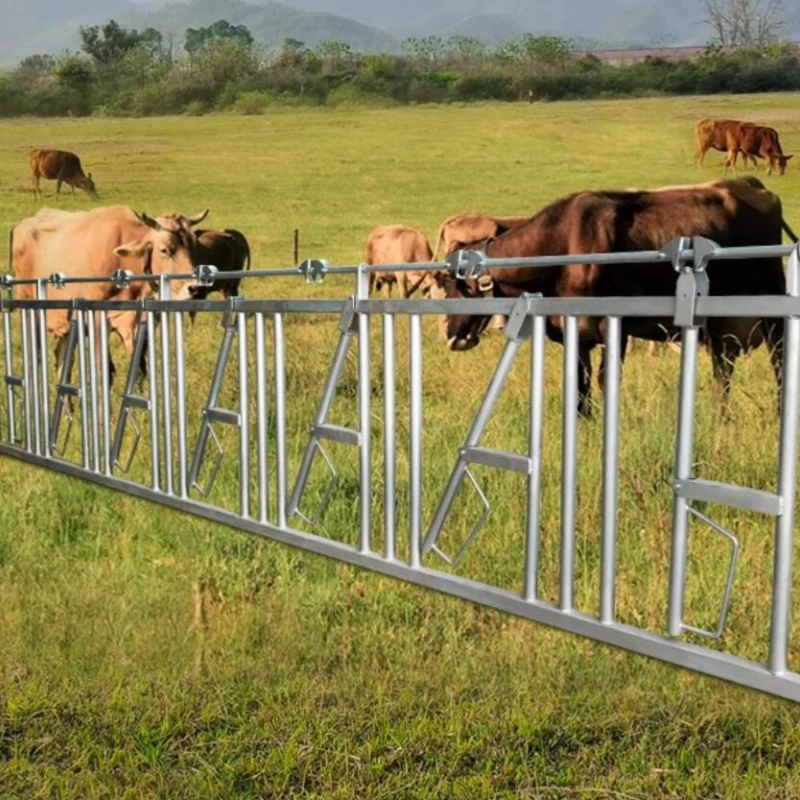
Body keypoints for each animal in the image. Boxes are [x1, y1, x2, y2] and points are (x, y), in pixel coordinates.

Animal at [10, 205, 207, 382]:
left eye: (195, 246)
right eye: (164, 249)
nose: (195, 288)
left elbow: (140, 371)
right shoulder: (97, 320)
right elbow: (102, 372)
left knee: (62, 359)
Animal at [432, 177, 795, 417]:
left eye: (454, 286)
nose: (451, 336)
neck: (565, 243)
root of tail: (749, 183)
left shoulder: (613, 326)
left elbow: (607, 380)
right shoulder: (574, 332)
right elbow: (580, 382)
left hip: (770, 304)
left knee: (778, 360)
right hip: (721, 326)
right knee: (723, 370)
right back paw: (721, 417)